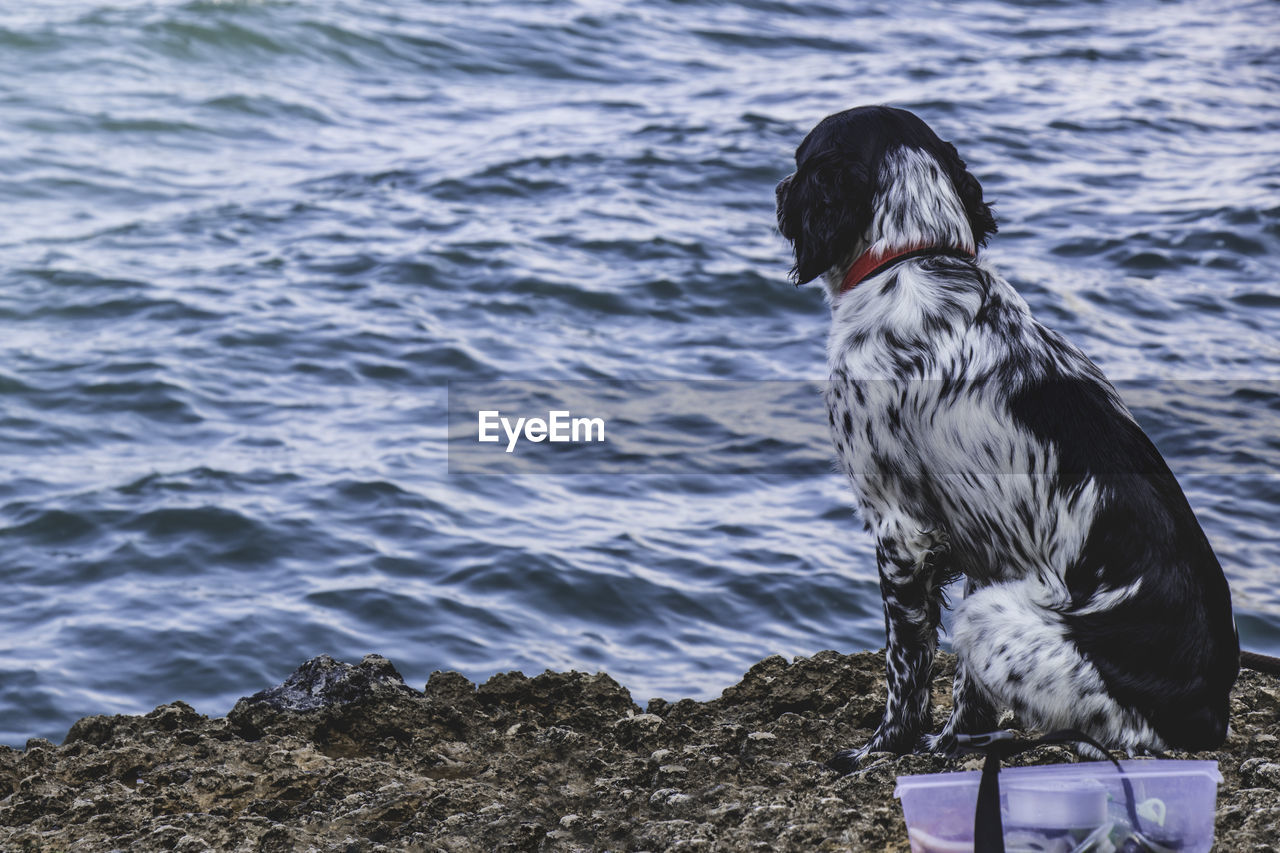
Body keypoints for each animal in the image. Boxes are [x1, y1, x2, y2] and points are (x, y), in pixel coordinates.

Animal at [768, 103, 1239, 768]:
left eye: (801, 160)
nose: (779, 190)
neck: (911, 259)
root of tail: (1210, 707)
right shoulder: (985, 545)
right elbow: (967, 692)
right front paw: (953, 742)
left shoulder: (899, 528)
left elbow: (906, 667)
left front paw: (880, 751)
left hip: (992, 619)